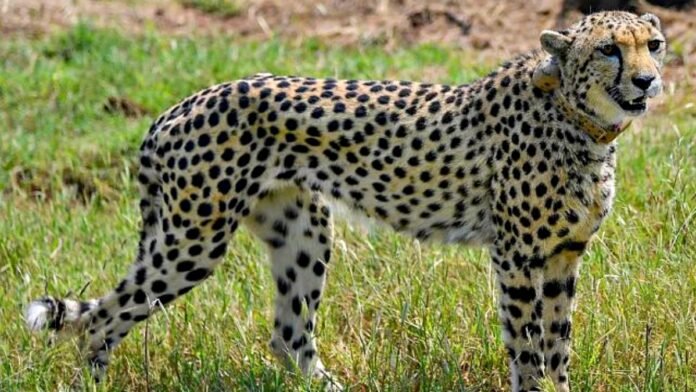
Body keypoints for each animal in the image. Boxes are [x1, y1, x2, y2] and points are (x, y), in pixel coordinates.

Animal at [25, 10, 664, 390]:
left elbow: (558, 342)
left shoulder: (563, 256)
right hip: (193, 240)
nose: (647, 80)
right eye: (609, 50)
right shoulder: (517, 256)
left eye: (653, 44)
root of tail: (178, 106)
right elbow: (527, 344)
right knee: (100, 319)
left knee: (288, 335)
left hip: (302, 231)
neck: (581, 121)